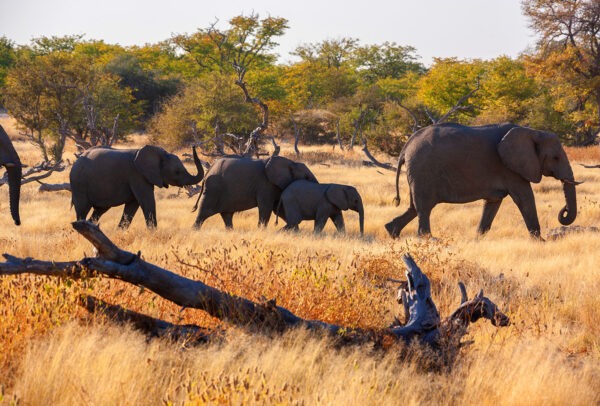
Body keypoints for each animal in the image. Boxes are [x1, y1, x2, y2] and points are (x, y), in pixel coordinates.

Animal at [70, 145, 204, 228]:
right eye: (177, 172)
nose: (193, 146)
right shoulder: (137, 175)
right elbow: (147, 201)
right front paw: (154, 234)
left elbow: (132, 206)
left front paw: (119, 233)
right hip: (78, 184)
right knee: (82, 210)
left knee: (99, 211)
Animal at [384, 122, 580, 239]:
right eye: (555, 158)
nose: (563, 210)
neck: (533, 132)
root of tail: (407, 146)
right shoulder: (510, 168)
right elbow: (525, 198)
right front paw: (540, 241)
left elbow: (493, 203)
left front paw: (478, 239)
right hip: (423, 170)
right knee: (424, 208)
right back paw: (428, 239)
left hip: (418, 174)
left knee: (414, 207)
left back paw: (392, 232)